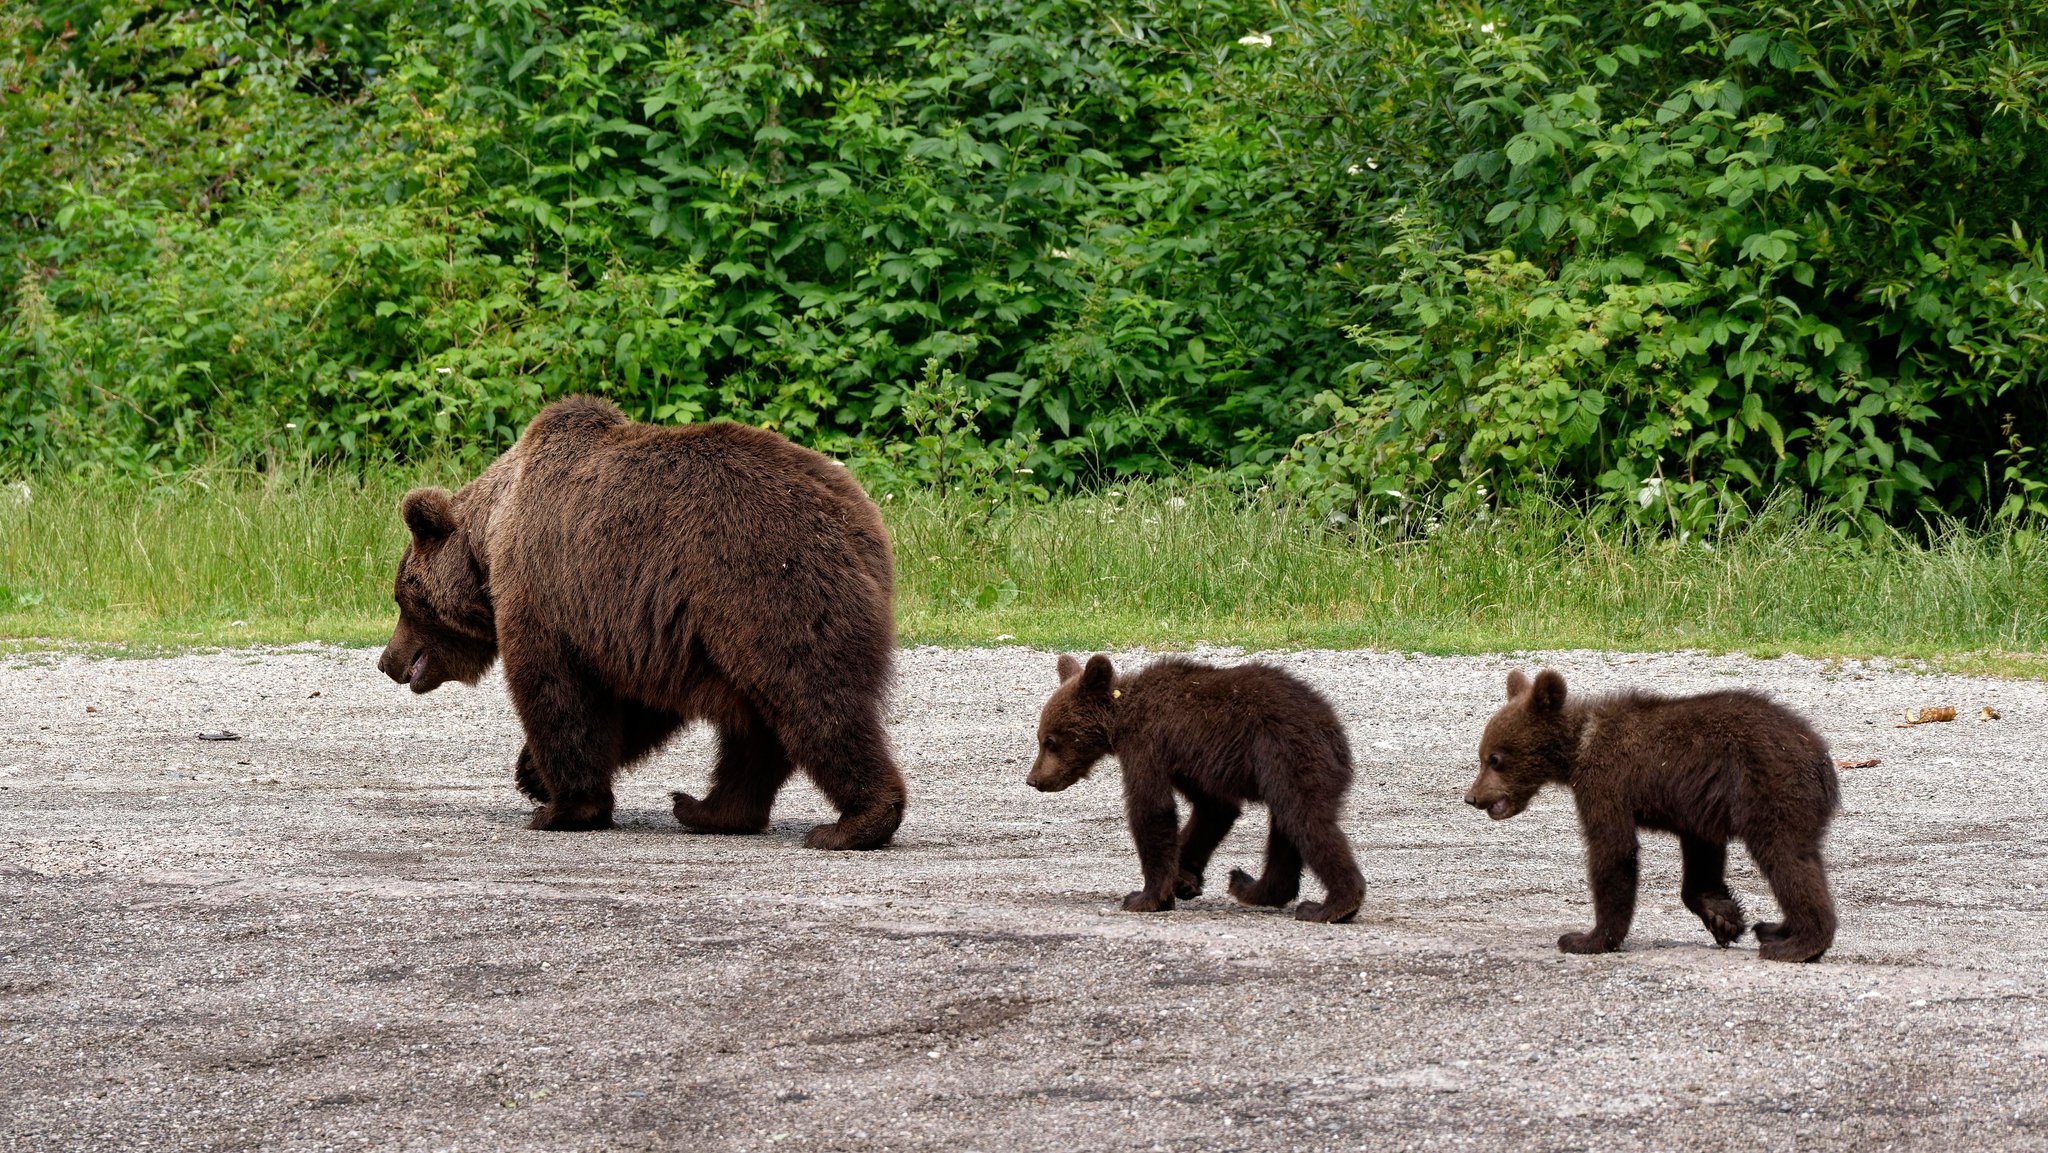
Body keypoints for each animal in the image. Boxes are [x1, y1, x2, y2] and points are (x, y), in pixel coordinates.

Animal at [376, 397, 905, 847]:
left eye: (403, 599)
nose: (386, 661)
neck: (487, 542)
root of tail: (864, 526)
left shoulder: (545, 595)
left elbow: (556, 693)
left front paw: (560, 807)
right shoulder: (641, 630)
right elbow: (636, 706)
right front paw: (531, 774)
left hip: (767, 586)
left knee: (815, 699)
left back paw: (854, 823)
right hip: (733, 623)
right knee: (757, 731)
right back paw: (707, 810)